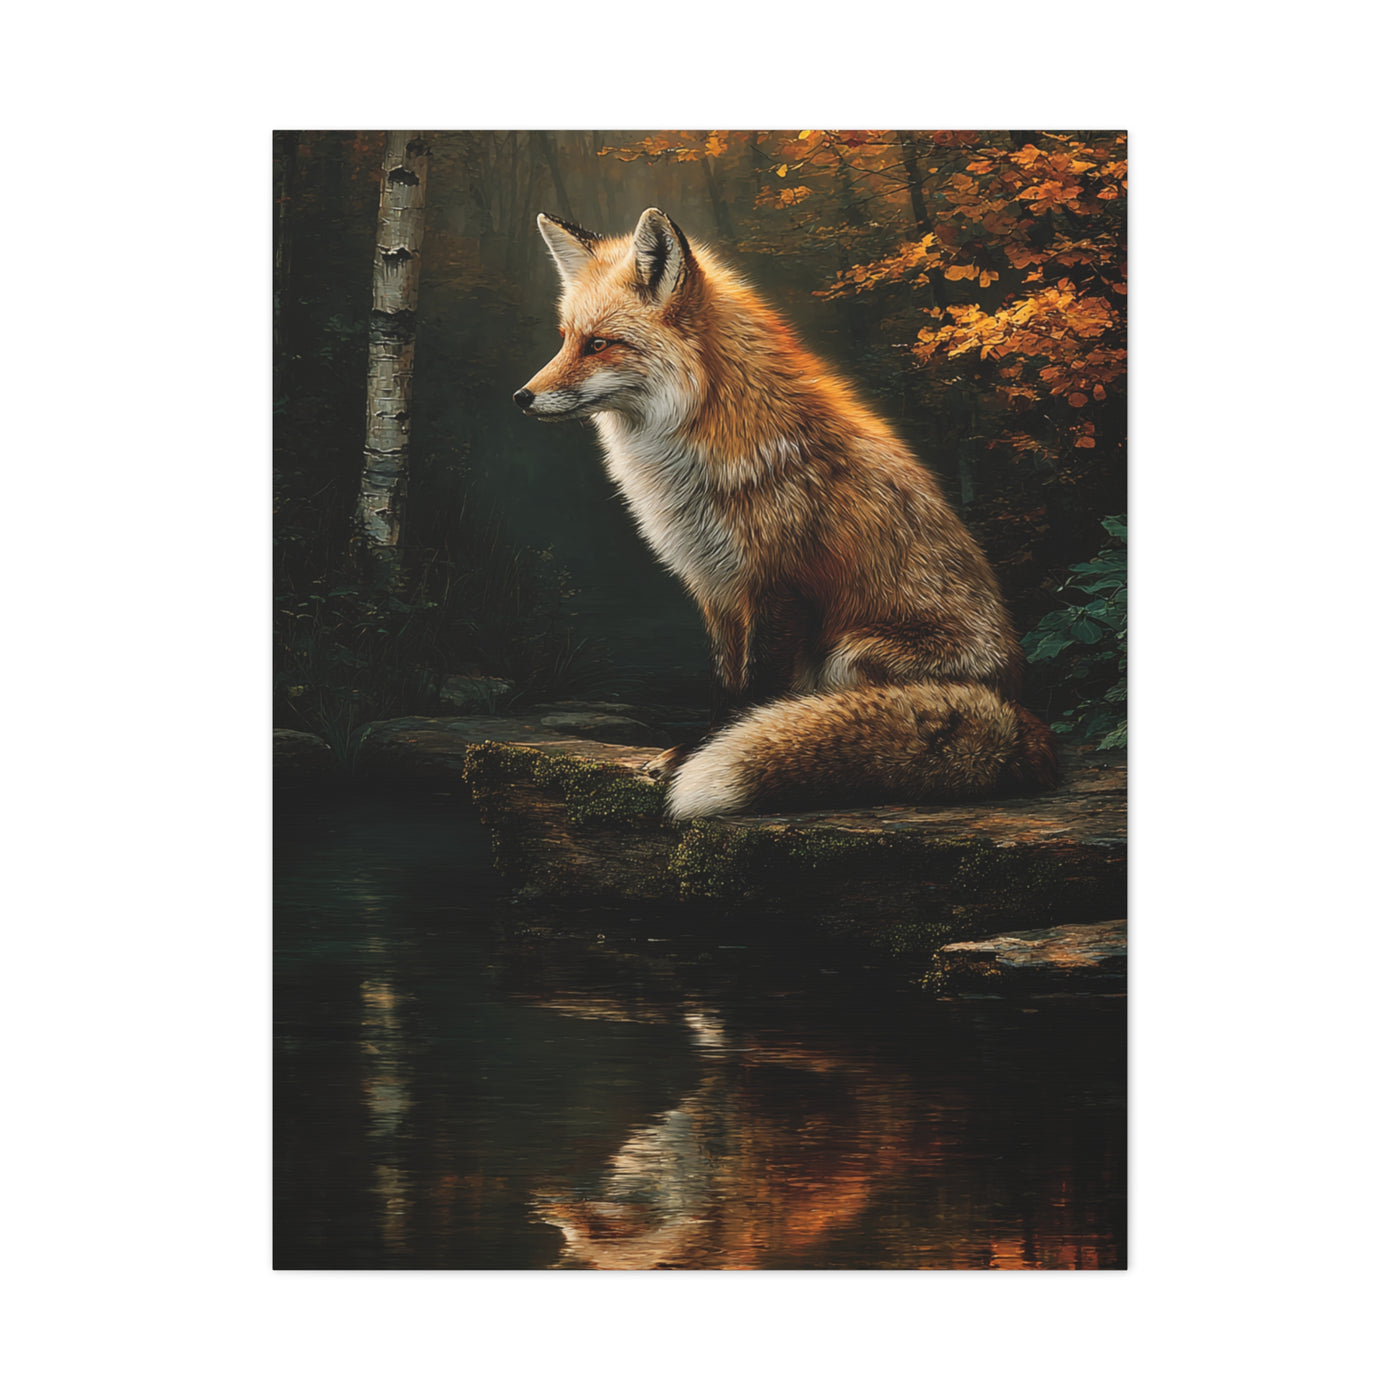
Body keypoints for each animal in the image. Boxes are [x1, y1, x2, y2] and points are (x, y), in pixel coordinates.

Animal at [515, 207, 1057, 819]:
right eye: (566, 341)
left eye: (600, 344)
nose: (521, 397)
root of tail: (1017, 712)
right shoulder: (714, 586)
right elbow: (725, 683)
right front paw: (696, 748)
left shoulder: (778, 585)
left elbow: (758, 688)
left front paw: (712, 750)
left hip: (850, 653)